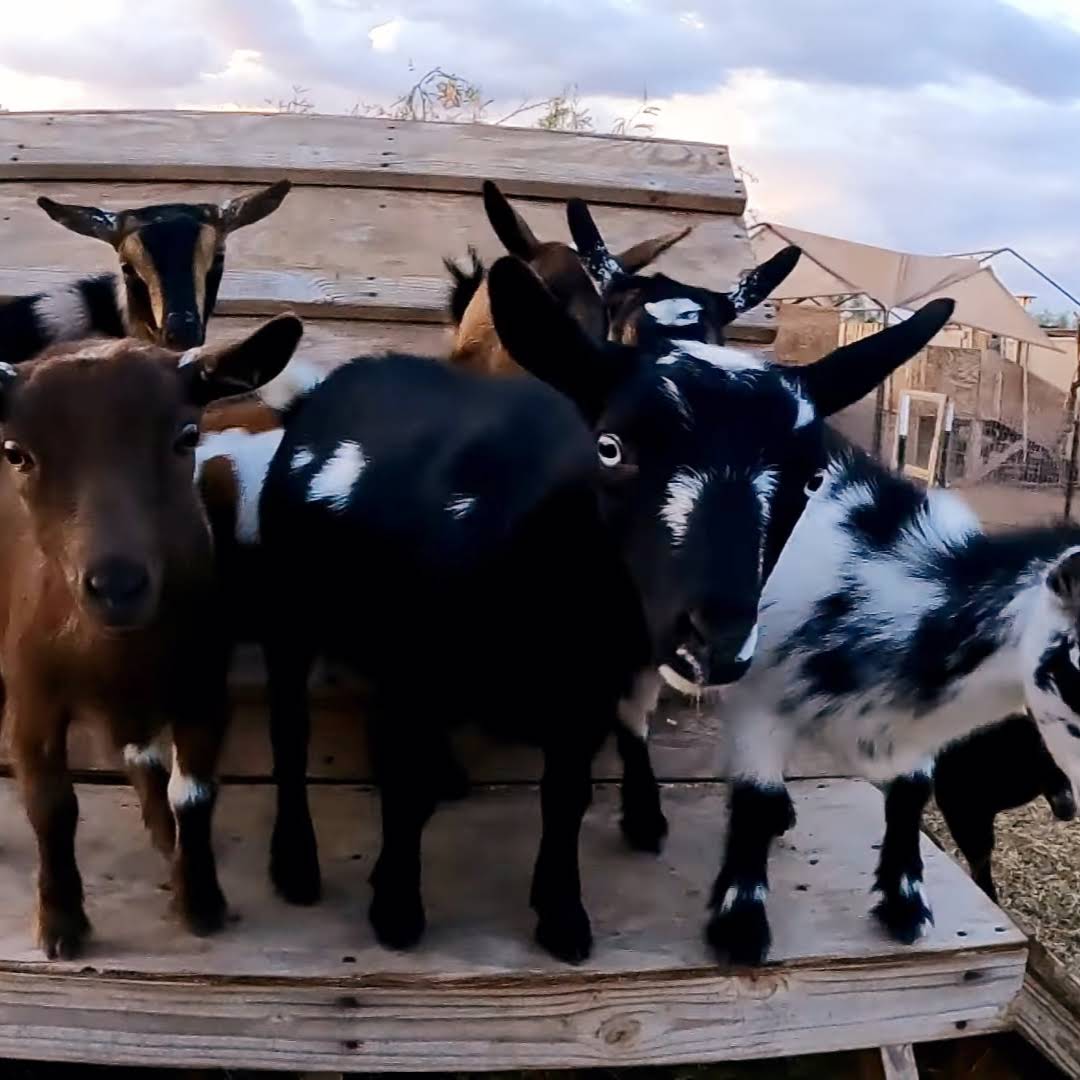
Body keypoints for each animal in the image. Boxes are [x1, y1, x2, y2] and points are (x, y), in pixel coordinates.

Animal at [0, 315, 301, 958]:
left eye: (187, 436)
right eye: (15, 452)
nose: (117, 585)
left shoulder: (203, 687)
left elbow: (194, 793)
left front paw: (201, 902)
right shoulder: (33, 697)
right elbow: (50, 804)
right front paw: (61, 925)